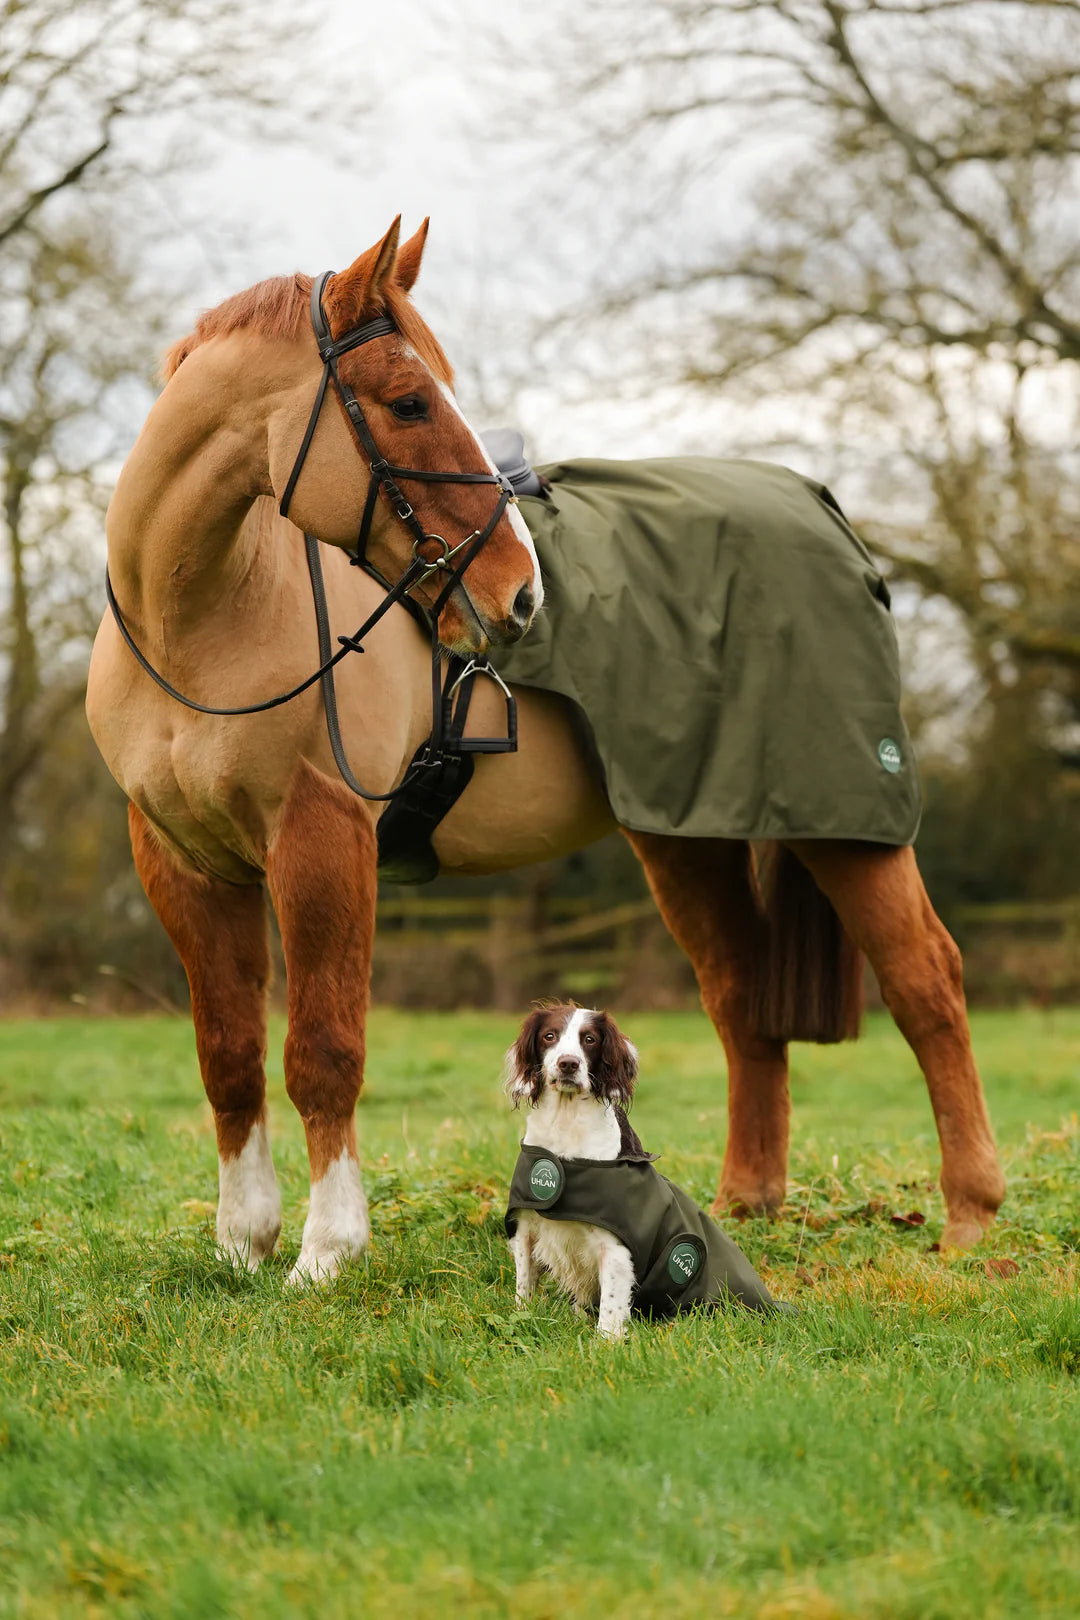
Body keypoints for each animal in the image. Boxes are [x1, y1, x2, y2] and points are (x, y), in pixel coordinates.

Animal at [88, 215, 1010, 1283]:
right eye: (408, 401)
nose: (521, 593)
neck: (205, 617)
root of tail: (822, 509)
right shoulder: (185, 862)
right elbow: (228, 1055)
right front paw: (245, 1241)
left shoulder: (322, 838)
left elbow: (323, 1050)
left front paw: (327, 1251)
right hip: (684, 837)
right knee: (741, 995)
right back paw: (747, 1202)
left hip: (844, 822)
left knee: (927, 982)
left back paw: (972, 1217)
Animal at [501, 1004, 780, 1334]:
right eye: (549, 1036)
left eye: (590, 1039)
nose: (568, 1063)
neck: (566, 1133)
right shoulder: (526, 1229)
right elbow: (524, 1288)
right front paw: (523, 1317)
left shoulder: (616, 1249)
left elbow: (610, 1311)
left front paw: (606, 1341)